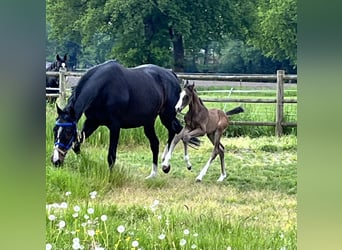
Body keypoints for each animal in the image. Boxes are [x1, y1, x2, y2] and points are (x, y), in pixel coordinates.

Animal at [50, 60, 198, 178]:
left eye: (68, 132)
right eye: (54, 130)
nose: (55, 161)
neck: (103, 88)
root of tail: (171, 74)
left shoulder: (114, 126)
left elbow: (111, 156)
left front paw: (110, 178)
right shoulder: (92, 122)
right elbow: (76, 145)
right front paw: (84, 163)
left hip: (167, 116)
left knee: (175, 133)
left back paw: (167, 164)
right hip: (148, 122)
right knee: (155, 143)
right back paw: (153, 173)